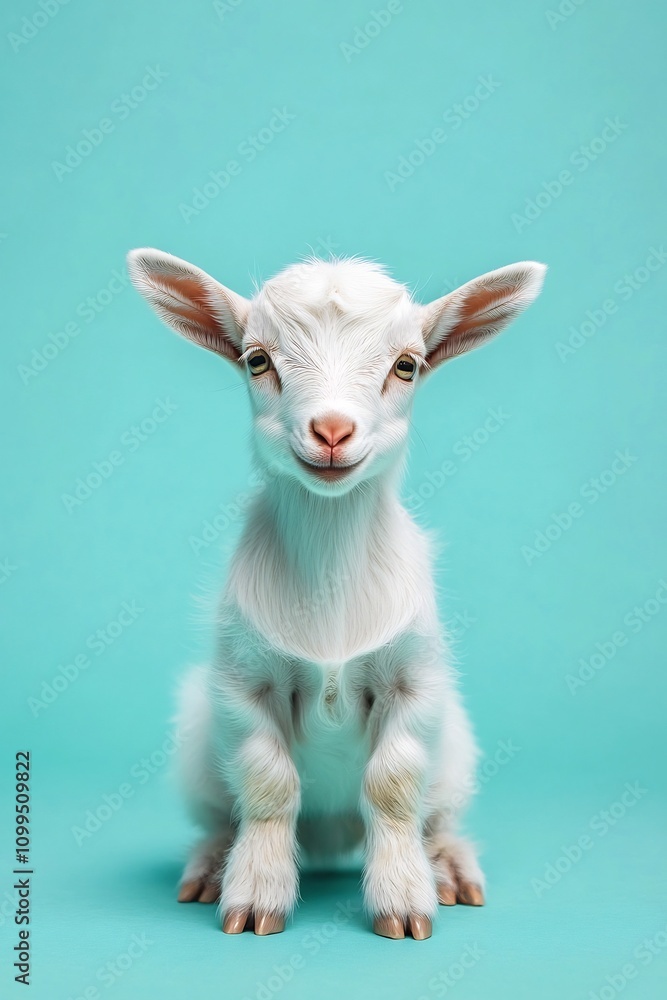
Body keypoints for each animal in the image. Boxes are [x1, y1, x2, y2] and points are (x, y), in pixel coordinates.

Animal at [127, 249, 546, 939]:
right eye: (257, 359)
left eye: (406, 364)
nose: (331, 431)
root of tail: (330, 838)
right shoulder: (242, 684)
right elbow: (267, 784)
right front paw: (256, 896)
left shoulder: (415, 682)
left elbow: (394, 785)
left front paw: (404, 901)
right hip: (195, 746)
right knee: (221, 814)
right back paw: (212, 865)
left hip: (457, 753)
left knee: (437, 815)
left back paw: (450, 866)